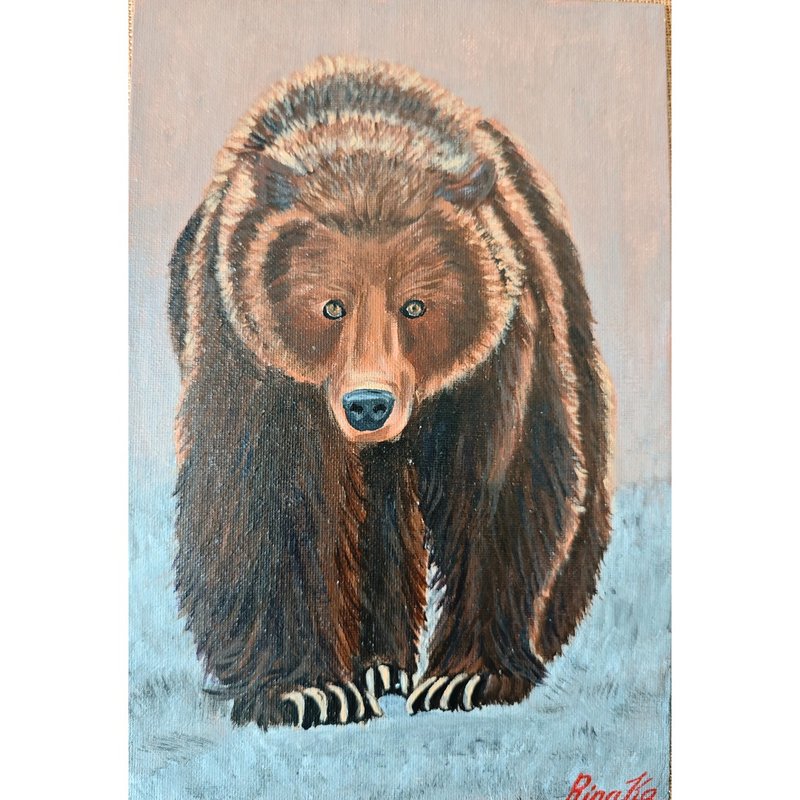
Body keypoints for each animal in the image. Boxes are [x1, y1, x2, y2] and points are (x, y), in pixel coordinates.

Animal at [168, 55, 614, 729]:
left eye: (415, 305)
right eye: (331, 305)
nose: (368, 404)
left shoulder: (498, 354)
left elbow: (503, 486)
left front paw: (465, 677)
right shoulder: (252, 353)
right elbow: (265, 502)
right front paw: (309, 690)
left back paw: (391, 666)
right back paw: (373, 668)